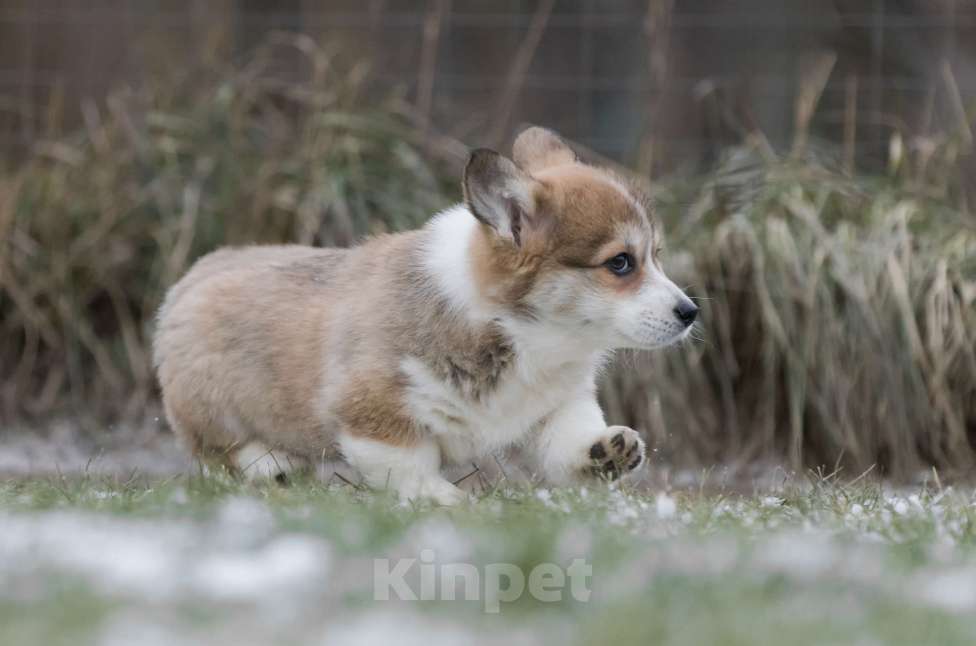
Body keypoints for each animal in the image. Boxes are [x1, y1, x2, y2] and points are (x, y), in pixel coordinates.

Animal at [152, 126, 696, 506]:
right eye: (620, 263)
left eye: (655, 255)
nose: (691, 312)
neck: (523, 335)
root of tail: (191, 276)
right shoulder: (373, 412)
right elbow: (409, 464)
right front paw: (447, 500)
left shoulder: (557, 403)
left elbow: (569, 440)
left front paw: (607, 452)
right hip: (214, 409)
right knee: (221, 453)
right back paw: (272, 464)